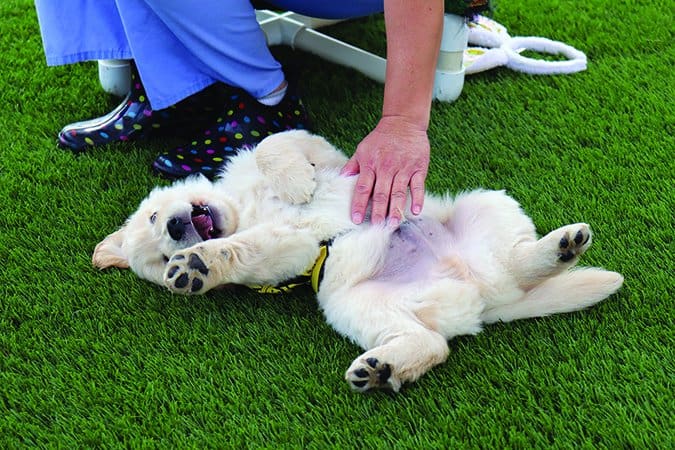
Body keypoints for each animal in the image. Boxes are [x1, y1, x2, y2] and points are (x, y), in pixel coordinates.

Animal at [92, 129, 624, 390]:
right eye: (161, 254)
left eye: (156, 217)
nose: (175, 232)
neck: (244, 207)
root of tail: (482, 292)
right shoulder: (288, 253)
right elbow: (241, 249)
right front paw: (196, 266)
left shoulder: (322, 151)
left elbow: (272, 146)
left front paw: (295, 183)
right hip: (353, 305)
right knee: (434, 343)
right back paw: (383, 369)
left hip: (486, 204)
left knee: (515, 262)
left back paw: (562, 245)